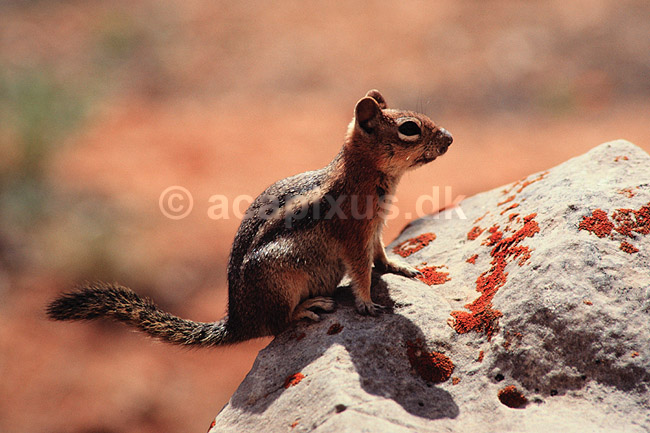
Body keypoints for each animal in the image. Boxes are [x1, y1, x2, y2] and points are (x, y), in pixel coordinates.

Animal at [47, 90, 452, 347]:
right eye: (410, 128)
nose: (449, 137)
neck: (361, 175)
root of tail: (238, 321)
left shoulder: (375, 228)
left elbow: (380, 253)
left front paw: (401, 266)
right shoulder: (353, 234)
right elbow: (361, 270)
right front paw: (367, 304)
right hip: (279, 276)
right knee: (276, 324)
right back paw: (306, 308)